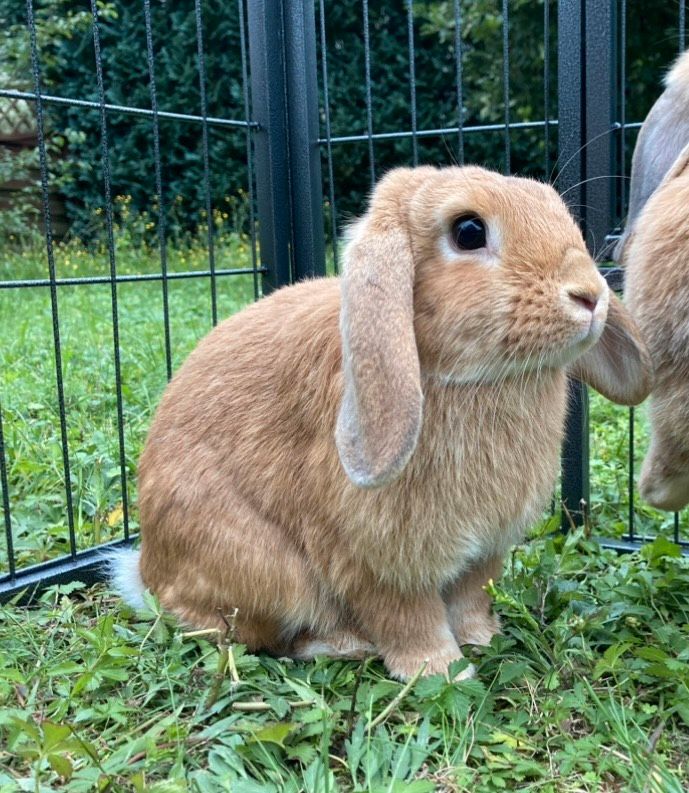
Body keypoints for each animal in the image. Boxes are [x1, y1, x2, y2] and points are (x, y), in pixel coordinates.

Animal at [111, 164, 652, 676]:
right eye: (469, 231)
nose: (589, 295)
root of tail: (147, 575)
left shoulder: (482, 554)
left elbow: (470, 598)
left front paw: (482, 639)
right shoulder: (373, 560)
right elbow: (408, 620)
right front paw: (444, 670)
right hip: (268, 572)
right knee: (249, 633)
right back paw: (341, 645)